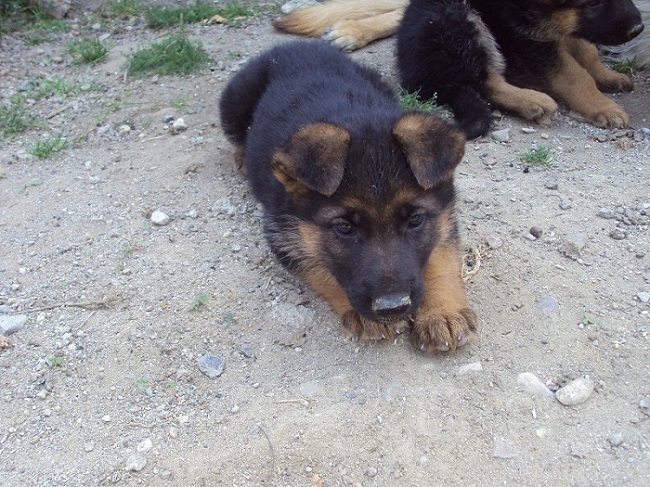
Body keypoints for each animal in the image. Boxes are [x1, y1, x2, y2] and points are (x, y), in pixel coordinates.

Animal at [272, 0, 644, 135]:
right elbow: (571, 73)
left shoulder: (557, 28)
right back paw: (531, 100)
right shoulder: (528, 36)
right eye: (593, 3)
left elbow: (585, 48)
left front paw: (607, 76)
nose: (639, 28)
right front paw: (602, 106)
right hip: (462, 19)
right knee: (483, 79)